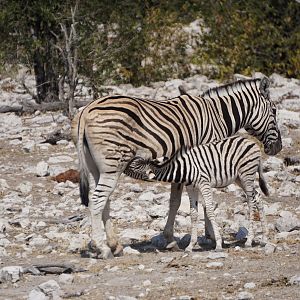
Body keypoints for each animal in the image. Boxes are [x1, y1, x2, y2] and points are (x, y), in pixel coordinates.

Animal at [72, 76, 282, 258]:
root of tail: (87, 110)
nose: (278, 148)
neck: (217, 116)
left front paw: (170, 239)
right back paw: (102, 247)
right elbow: (203, 202)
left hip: (96, 168)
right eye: (274, 111)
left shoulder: (185, 165)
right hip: (113, 164)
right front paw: (211, 236)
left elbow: (175, 201)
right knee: (97, 200)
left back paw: (114, 245)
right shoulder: (206, 156)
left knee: (103, 200)